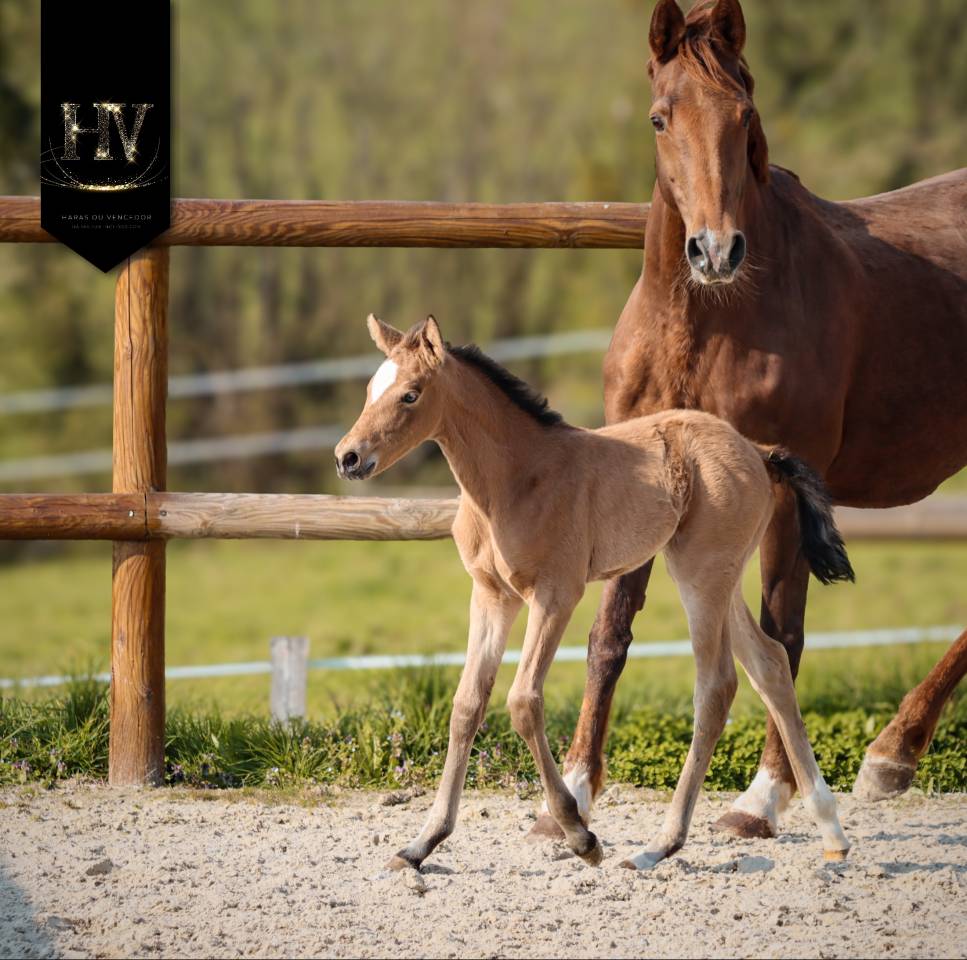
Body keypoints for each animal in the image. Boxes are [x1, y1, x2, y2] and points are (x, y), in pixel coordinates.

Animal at [334, 313, 854, 871]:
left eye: (410, 394)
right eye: (370, 390)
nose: (348, 457)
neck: (516, 479)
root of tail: (757, 451)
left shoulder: (556, 594)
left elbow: (523, 701)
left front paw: (579, 834)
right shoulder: (492, 597)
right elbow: (467, 705)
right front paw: (421, 844)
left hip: (699, 576)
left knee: (717, 687)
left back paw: (662, 844)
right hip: (723, 576)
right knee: (771, 664)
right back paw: (830, 830)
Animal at [531, 0, 967, 843]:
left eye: (744, 118)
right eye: (659, 117)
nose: (715, 251)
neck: (709, 322)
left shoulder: (785, 486)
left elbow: (779, 635)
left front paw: (761, 798)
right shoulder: (641, 474)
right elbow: (609, 634)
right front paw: (570, 795)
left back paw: (888, 754)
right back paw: (894, 752)